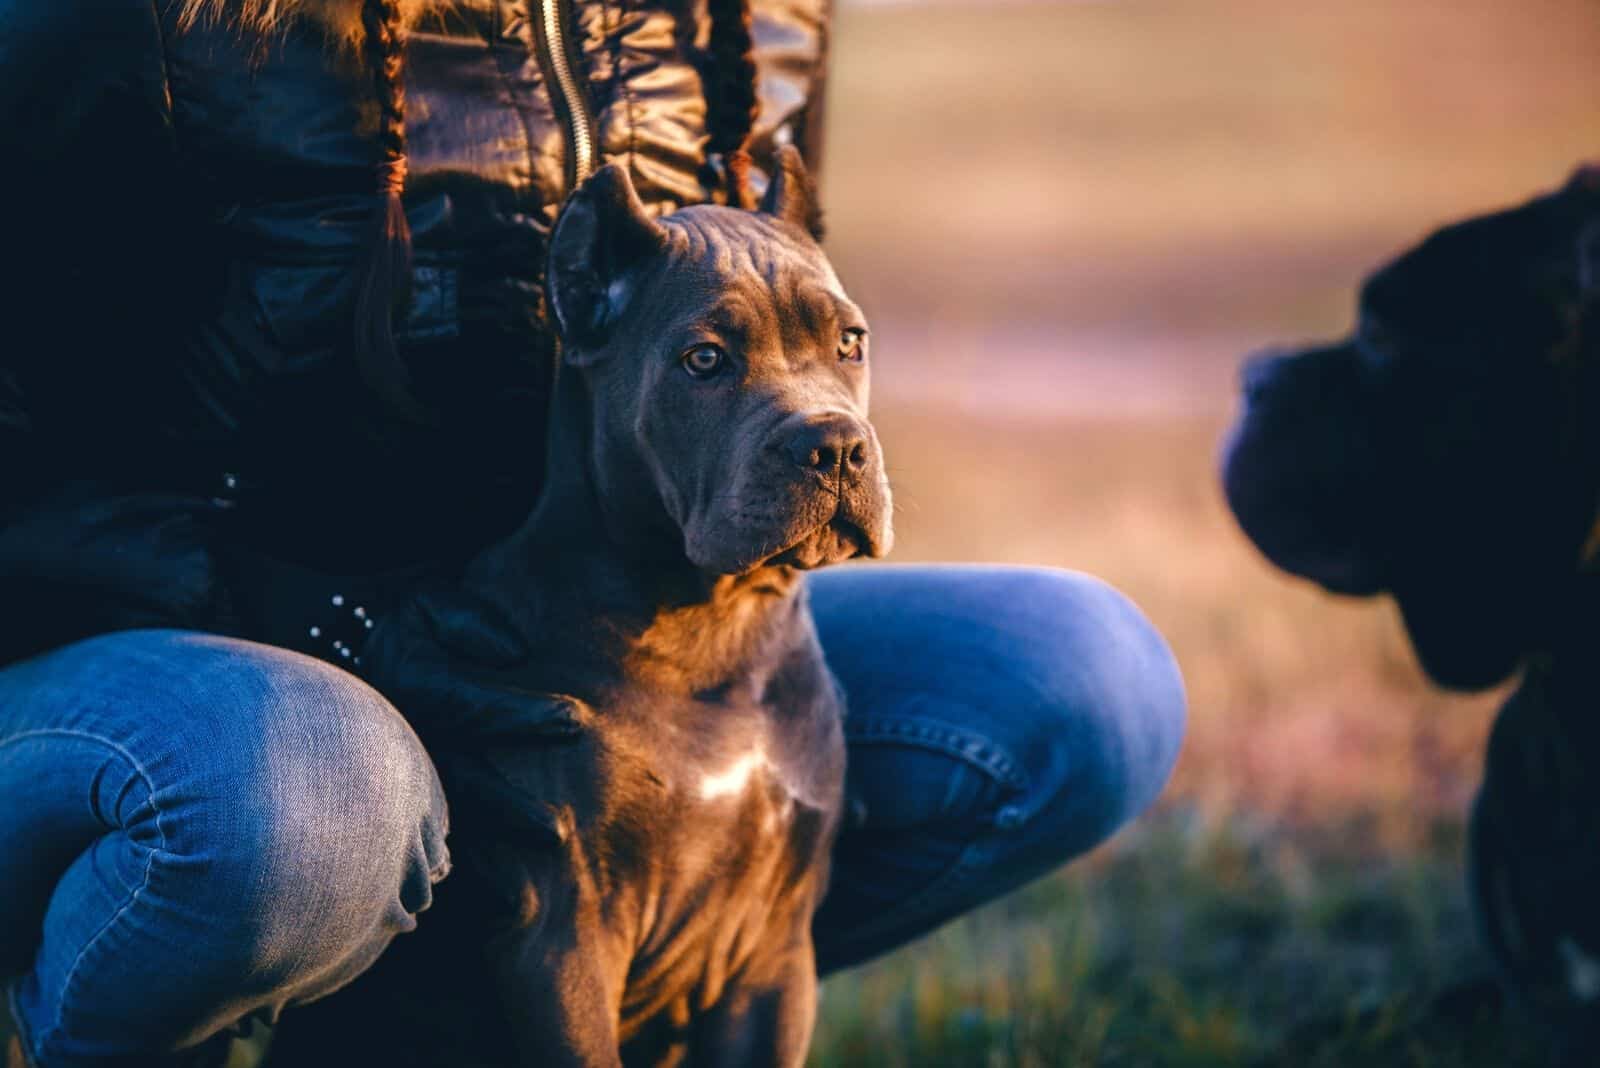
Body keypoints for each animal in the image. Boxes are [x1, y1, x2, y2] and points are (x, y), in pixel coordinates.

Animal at [281, 150, 896, 1068]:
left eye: (849, 342)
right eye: (704, 360)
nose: (836, 446)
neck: (712, 628)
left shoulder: (776, 952)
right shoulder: (564, 933)